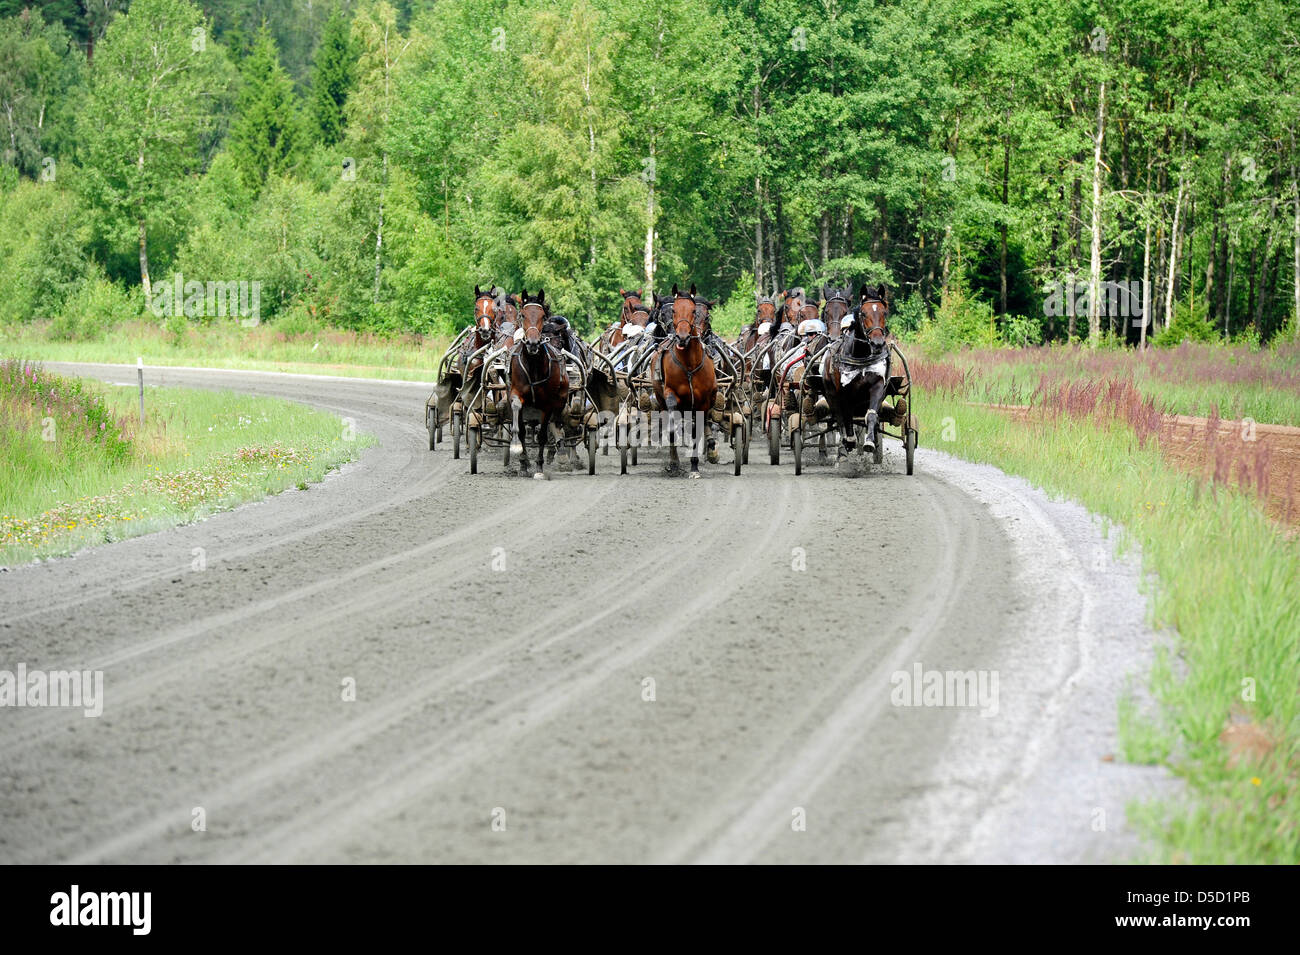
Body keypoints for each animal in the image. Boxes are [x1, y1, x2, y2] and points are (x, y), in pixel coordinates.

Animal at [506, 285, 569, 475]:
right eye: (523, 315)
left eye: (542, 316)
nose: (532, 343)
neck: (533, 364)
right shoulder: (516, 392)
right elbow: (517, 416)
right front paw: (520, 456)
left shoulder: (547, 403)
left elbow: (542, 435)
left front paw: (539, 466)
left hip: (561, 398)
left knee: (556, 422)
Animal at [650, 283, 722, 478]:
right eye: (674, 310)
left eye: (693, 311)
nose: (682, 337)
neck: (689, 365)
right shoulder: (670, 394)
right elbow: (672, 428)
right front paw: (674, 464)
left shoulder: (703, 401)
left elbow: (698, 430)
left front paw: (695, 467)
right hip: (660, 399)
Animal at [821, 283, 894, 462]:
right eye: (864, 313)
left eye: (884, 312)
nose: (877, 343)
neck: (861, 356)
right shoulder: (845, 392)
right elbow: (846, 417)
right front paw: (849, 441)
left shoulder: (877, 386)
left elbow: (871, 415)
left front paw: (869, 442)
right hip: (831, 394)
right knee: (839, 417)